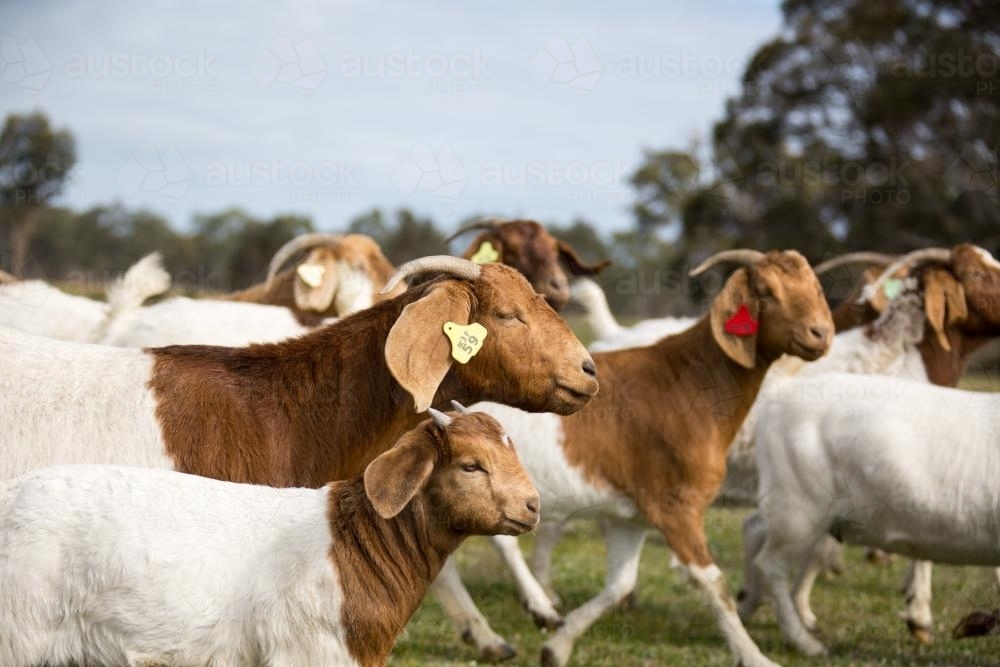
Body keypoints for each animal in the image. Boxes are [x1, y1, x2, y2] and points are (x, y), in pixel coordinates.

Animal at [445, 250, 834, 666]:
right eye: (765, 290)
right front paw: (755, 656)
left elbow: (619, 585)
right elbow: (713, 583)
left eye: (815, 287)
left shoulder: (630, 516)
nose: (819, 334)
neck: (689, 385)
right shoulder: (677, 505)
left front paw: (557, 646)